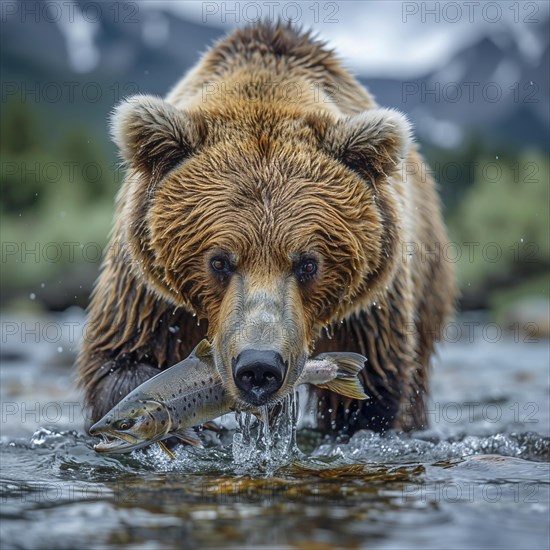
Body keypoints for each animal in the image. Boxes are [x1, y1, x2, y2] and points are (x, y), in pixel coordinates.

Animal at [77, 21, 458, 438]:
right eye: (219, 261)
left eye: (308, 263)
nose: (259, 366)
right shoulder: (147, 289)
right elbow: (121, 358)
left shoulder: (368, 310)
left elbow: (368, 397)